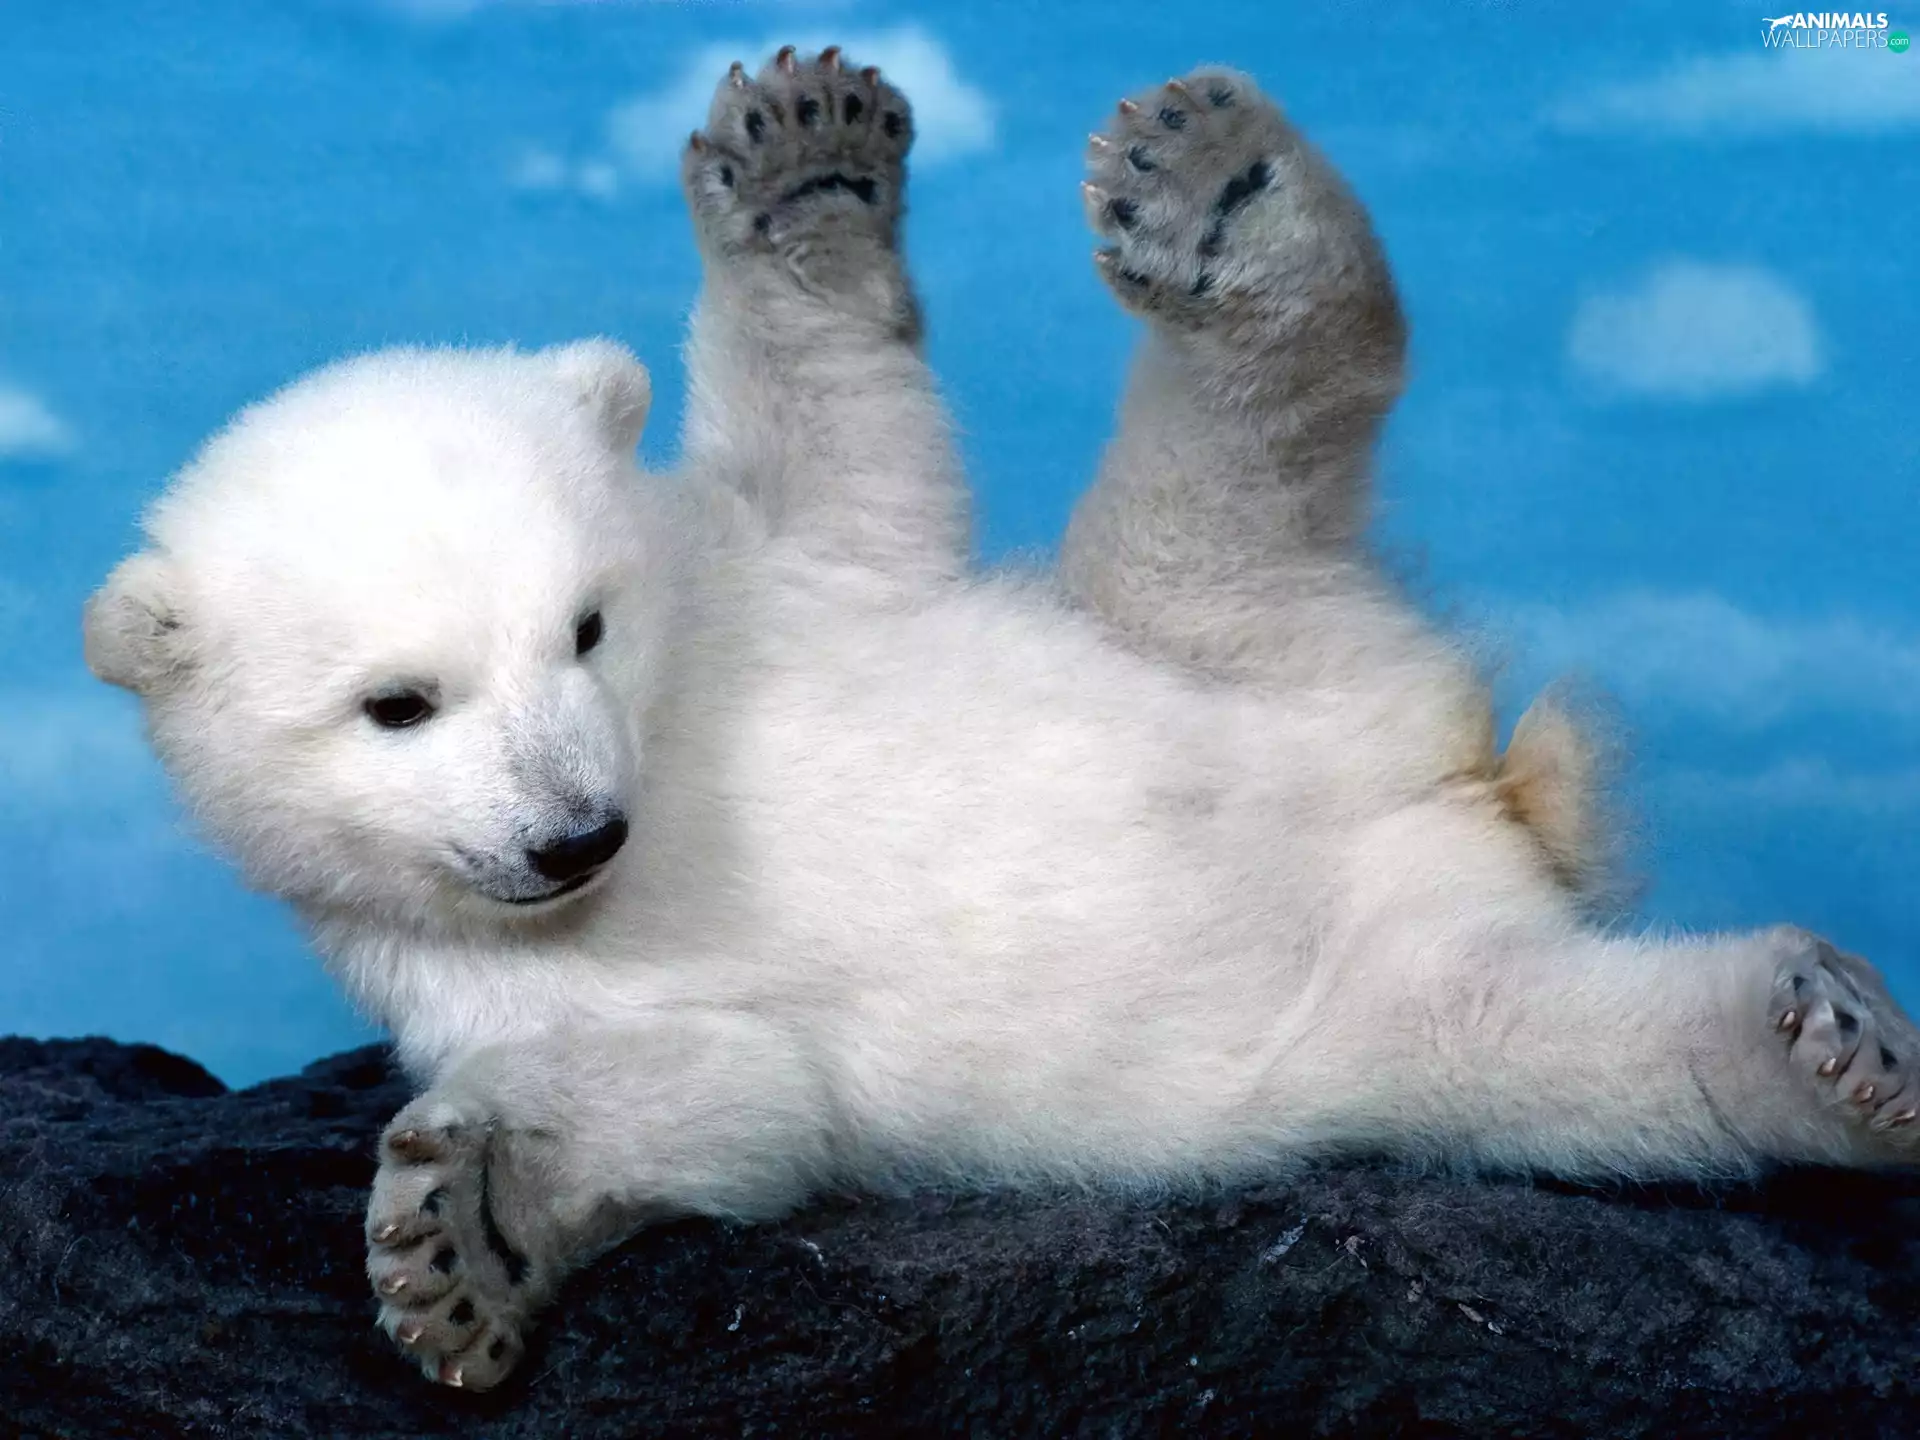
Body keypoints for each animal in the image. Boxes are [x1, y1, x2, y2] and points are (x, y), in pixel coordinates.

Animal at [85, 48, 1919, 1392]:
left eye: (587, 627)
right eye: (396, 706)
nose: (577, 834)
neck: (669, 762)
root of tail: (1461, 789)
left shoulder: (778, 585)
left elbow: (851, 463)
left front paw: (804, 162)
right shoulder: (474, 968)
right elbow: (721, 1094)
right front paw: (464, 1231)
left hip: (1214, 640)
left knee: (1238, 460)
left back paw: (1224, 187)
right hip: (1380, 992)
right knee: (1578, 1061)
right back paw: (1826, 1042)